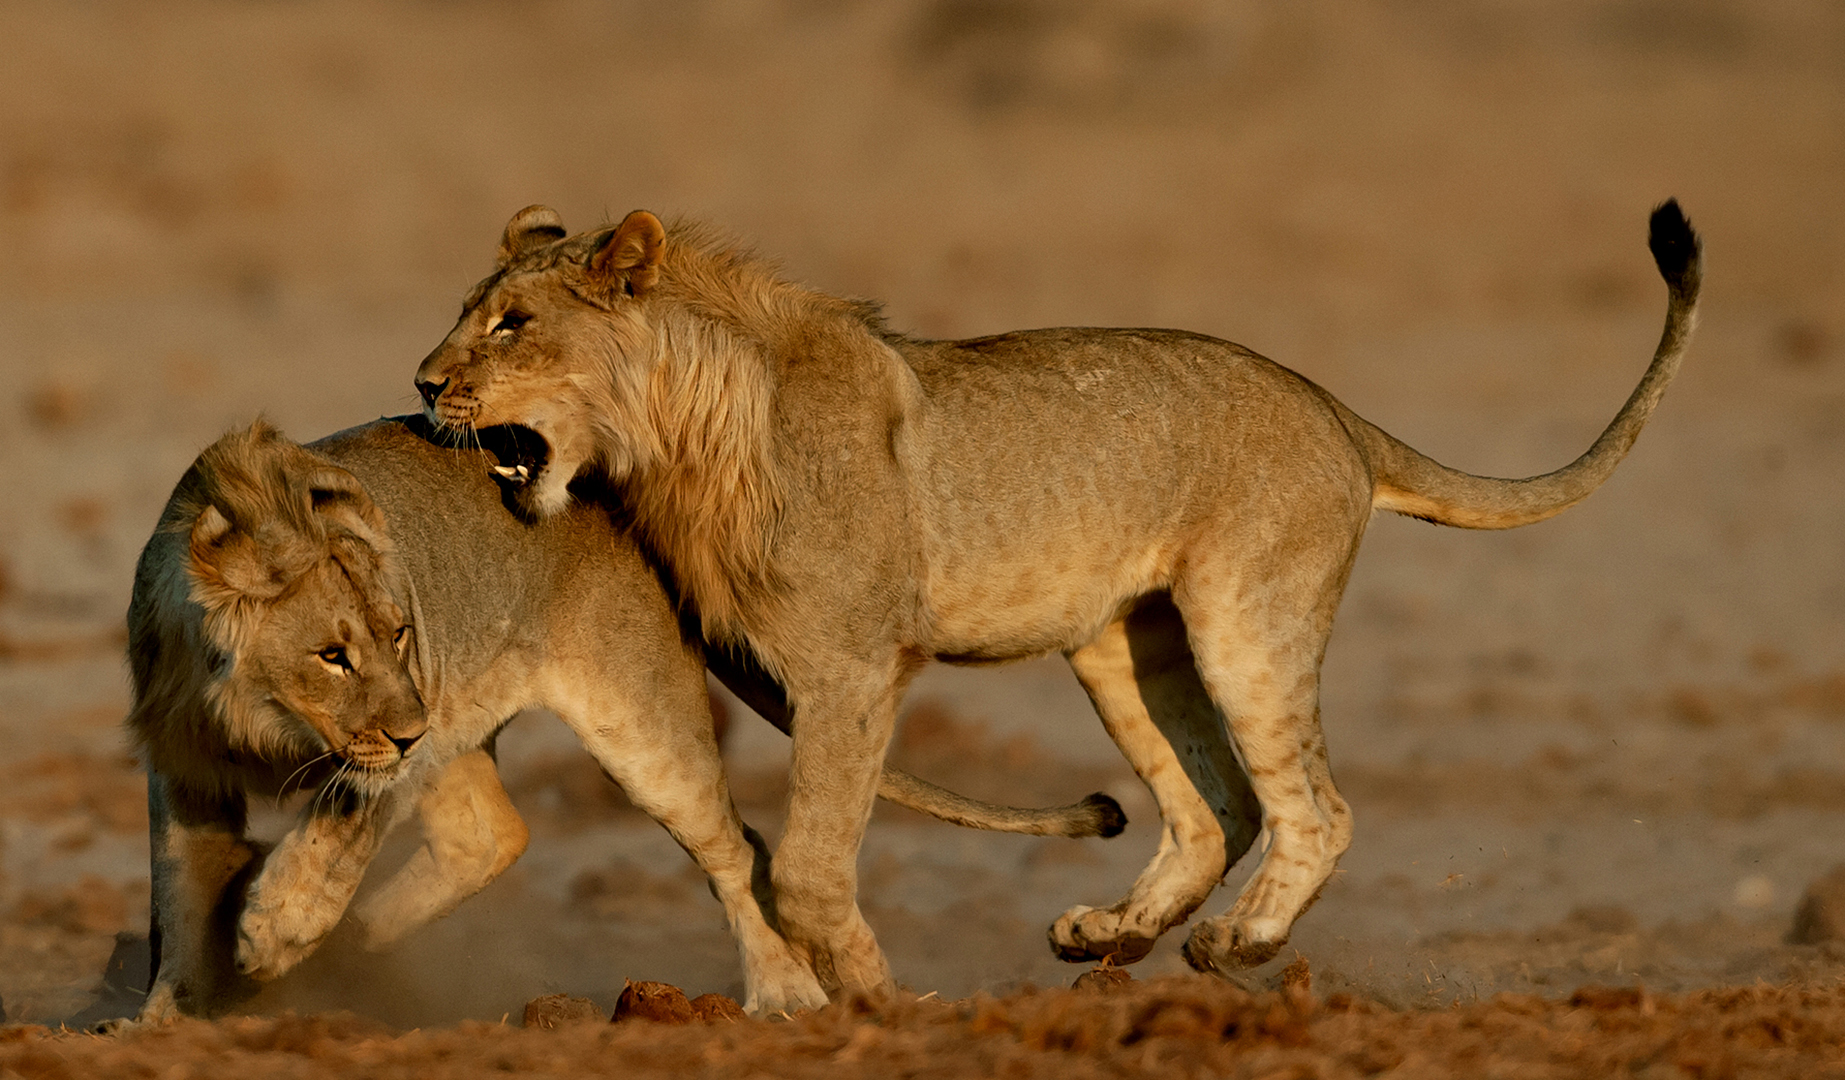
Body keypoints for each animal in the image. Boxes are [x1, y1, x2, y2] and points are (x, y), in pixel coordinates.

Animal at [125, 415, 1125, 1021]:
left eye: (399, 632)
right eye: (333, 654)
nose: (409, 724)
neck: (259, 720)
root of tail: (622, 492)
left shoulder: (383, 744)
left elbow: (333, 826)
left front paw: (270, 932)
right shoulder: (184, 771)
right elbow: (180, 894)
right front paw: (168, 1020)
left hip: (634, 723)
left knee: (738, 849)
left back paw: (783, 994)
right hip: (477, 715)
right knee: (490, 834)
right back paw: (361, 951)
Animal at [413, 201, 1700, 997]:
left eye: (513, 324)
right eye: (466, 314)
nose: (423, 384)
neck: (680, 437)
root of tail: (1332, 404)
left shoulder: (852, 668)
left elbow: (813, 866)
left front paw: (880, 1001)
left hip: (1248, 616)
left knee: (1313, 807)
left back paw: (1238, 942)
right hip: (1125, 644)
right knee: (1215, 809)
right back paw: (1110, 934)